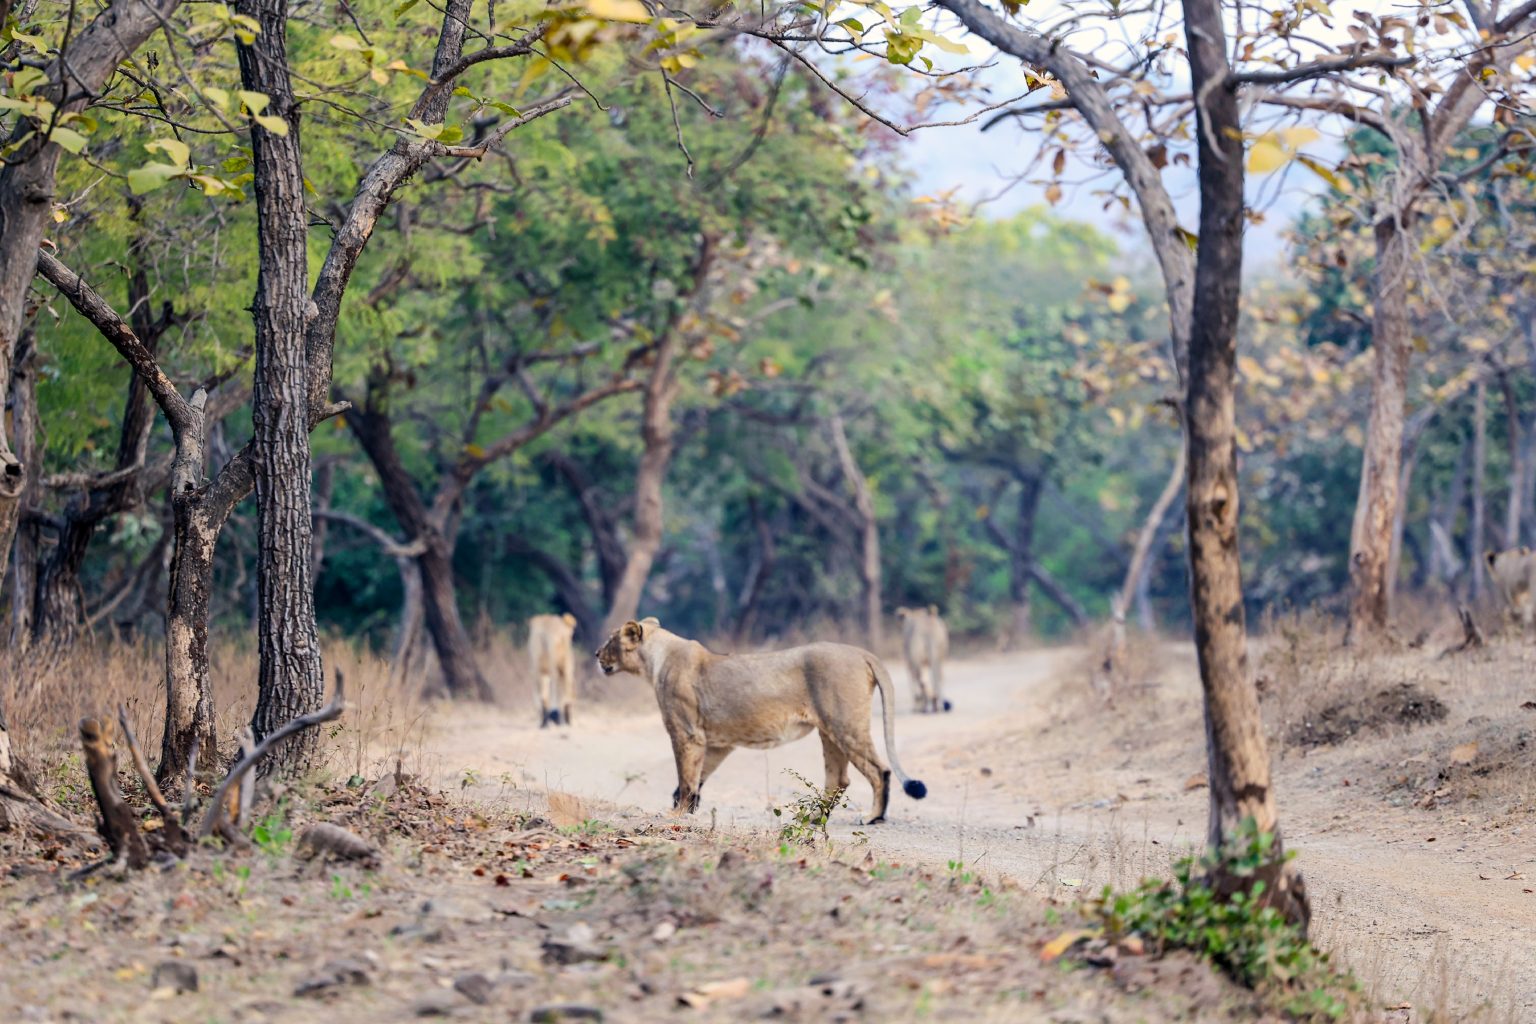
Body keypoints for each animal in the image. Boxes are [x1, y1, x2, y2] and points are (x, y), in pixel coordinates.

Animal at [595, 618, 927, 824]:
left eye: (611, 639)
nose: (597, 653)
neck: (655, 659)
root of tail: (861, 652)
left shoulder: (686, 733)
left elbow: (686, 777)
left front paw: (676, 816)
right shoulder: (717, 743)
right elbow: (696, 778)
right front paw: (685, 811)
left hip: (845, 724)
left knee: (879, 770)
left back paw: (873, 817)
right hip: (829, 730)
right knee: (838, 779)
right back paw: (814, 818)